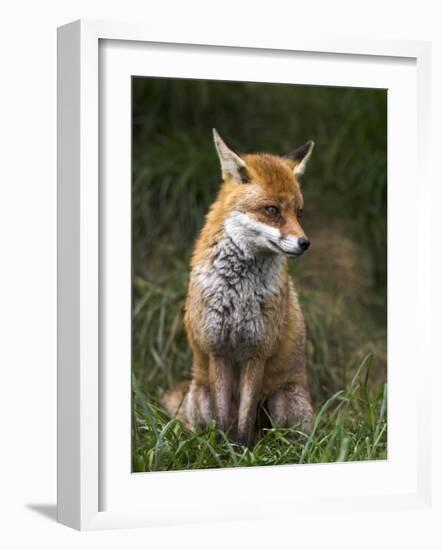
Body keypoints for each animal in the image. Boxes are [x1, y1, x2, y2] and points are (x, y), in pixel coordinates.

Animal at [161, 129, 314, 448]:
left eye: (299, 213)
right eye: (272, 210)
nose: (305, 243)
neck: (238, 291)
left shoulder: (257, 351)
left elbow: (243, 420)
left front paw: (243, 450)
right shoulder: (218, 350)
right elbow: (224, 419)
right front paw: (223, 450)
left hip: (282, 400)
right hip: (201, 394)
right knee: (197, 425)